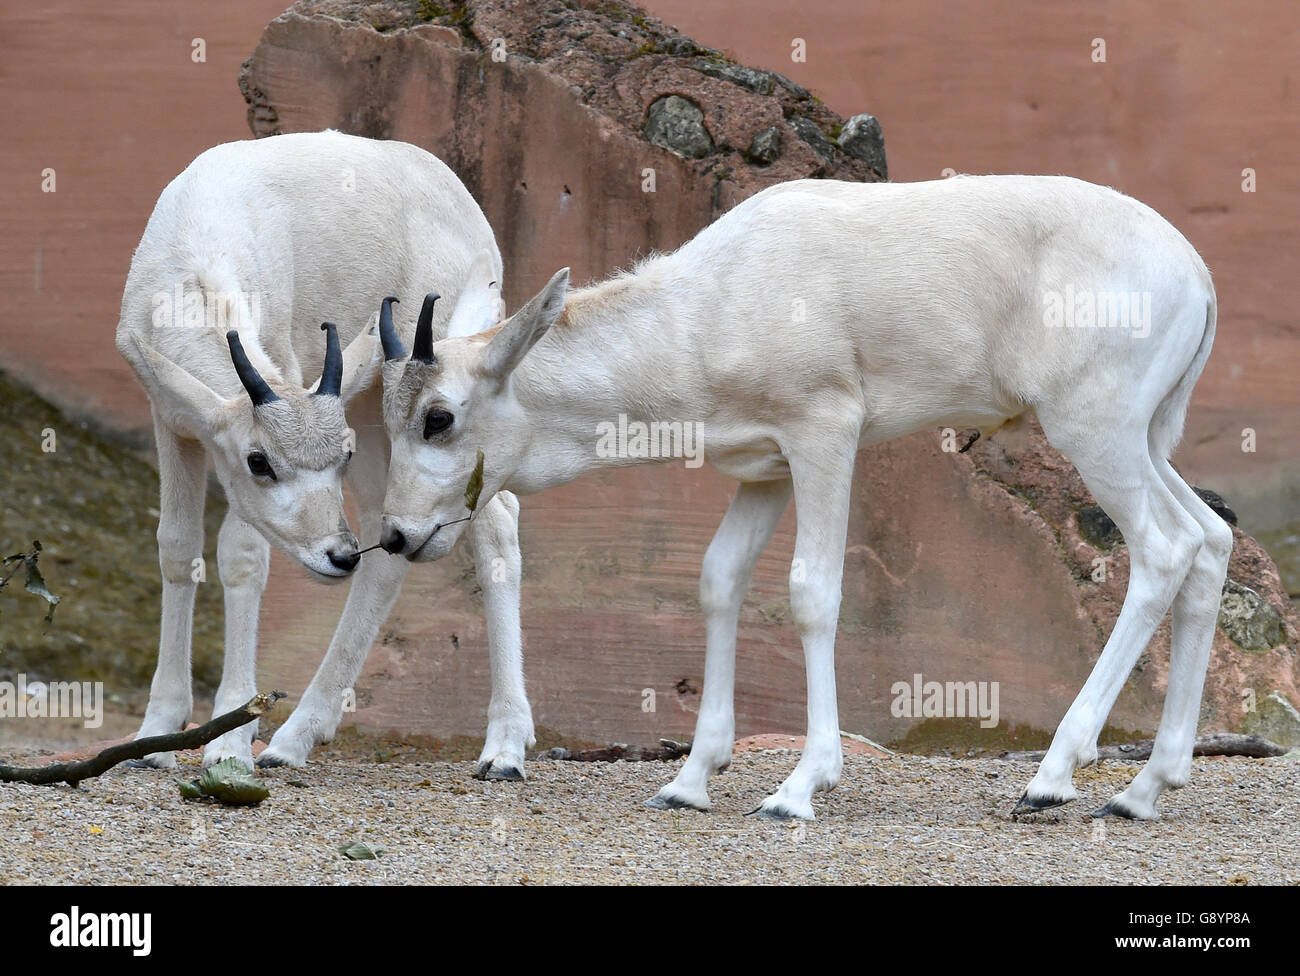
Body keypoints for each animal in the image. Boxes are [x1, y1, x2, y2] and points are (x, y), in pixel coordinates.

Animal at [115, 133, 533, 784]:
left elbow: (242, 557)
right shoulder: (172, 421)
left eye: (338, 455)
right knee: (392, 535)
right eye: (260, 461)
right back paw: (294, 739)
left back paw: (505, 749)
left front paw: (228, 742)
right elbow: (177, 547)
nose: (338, 556)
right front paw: (155, 733)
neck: (194, 254)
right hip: (373, 406)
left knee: (494, 522)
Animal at [379, 175, 1227, 826]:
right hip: (1144, 440)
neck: (714, 299)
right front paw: (689, 781)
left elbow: (813, 592)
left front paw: (798, 787)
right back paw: (1144, 789)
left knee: (1163, 549)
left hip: (1095, 432)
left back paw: (1051, 780)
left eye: (438, 416)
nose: (395, 535)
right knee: (1211, 539)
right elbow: (719, 580)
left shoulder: (825, 433)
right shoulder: (766, 470)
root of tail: (1197, 271)